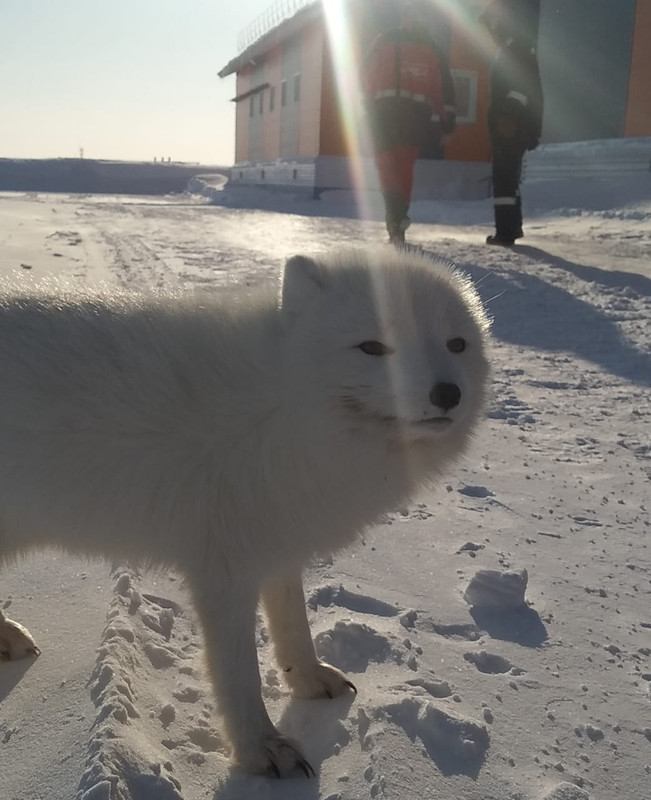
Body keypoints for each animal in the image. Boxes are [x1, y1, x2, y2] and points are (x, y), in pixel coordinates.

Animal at [0, 248, 488, 776]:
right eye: (372, 347)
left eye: (456, 343)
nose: (448, 393)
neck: (284, 409)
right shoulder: (223, 567)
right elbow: (238, 674)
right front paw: (260, 747)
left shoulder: (277, 540)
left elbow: (294, 624)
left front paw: (308, 679)